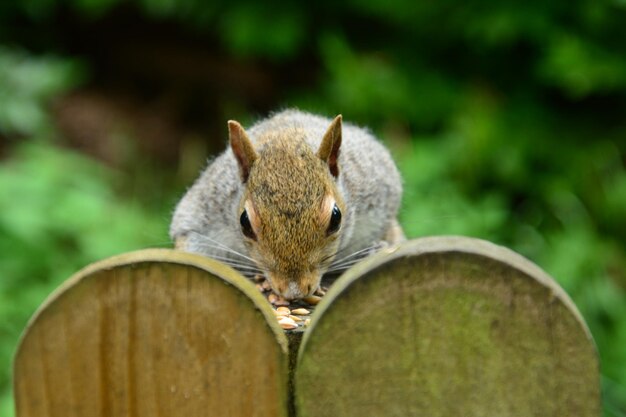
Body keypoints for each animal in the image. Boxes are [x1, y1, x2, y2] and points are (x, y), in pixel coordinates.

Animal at [169, 109, 404, 300]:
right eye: (244, 222)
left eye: (336, 218)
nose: (294, 292)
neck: (286, 138)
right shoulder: (203, 214)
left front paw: (375, 251)